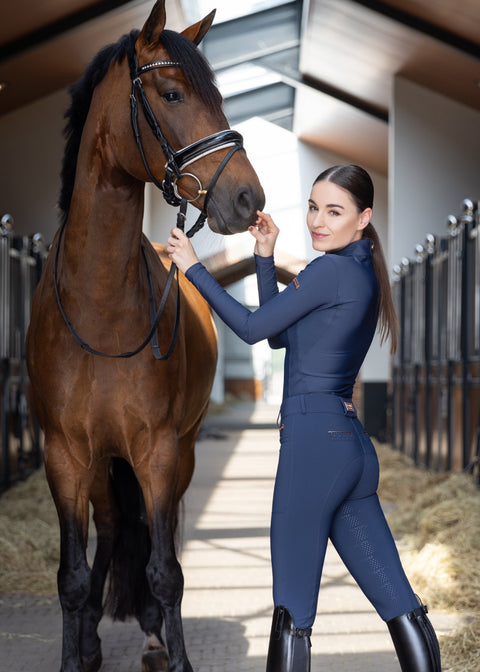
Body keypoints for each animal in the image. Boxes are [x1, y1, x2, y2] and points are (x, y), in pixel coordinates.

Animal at [25, 2, 266, 668]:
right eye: (174, 93)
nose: (248, 198)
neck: (101, 309)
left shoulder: (157, 452)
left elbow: (166, 571)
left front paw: (173, 650)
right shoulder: (65, 456)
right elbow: (72, 576)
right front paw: (74, 652)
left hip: (175, 452)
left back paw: (154, 633)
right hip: (101, 465)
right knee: (109, 534)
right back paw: (92, 639)